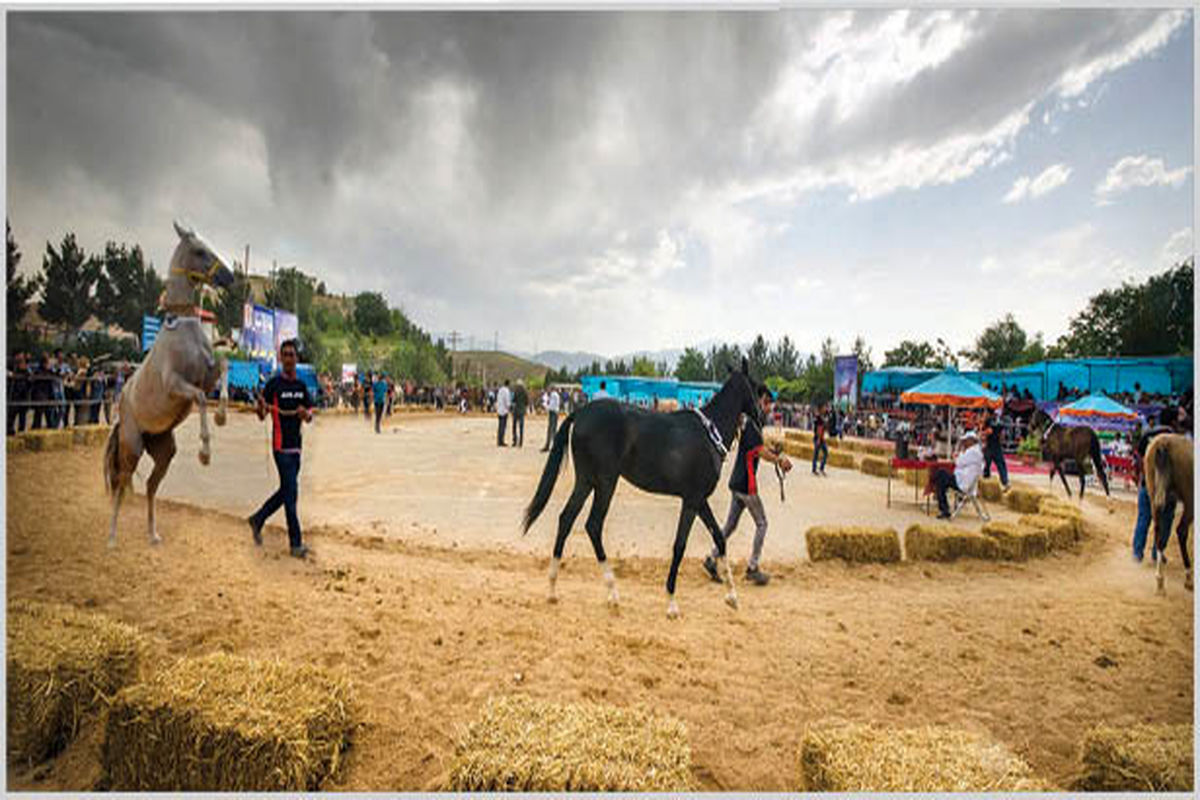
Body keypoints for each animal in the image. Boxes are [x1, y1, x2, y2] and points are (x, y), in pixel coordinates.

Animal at [104, 221, 235, 546]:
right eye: (199, 251)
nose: (230, 277)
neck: (183, 327)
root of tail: (121, 408)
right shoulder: (177, 384)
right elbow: (200, 397)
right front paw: (204, 453)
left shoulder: (207, 374)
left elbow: (224, 365)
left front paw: (222, 416)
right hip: (132, 447)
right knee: (121, 483)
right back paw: (111, 537)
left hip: (163, 449)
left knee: (151, 486)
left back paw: (153, 534)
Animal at [523, 362, 758, 618]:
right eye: (756, 387)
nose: (759, 416)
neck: (708, 435)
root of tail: (582, 412)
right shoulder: (692, 500)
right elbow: (680, 545)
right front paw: (671, 603)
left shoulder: (699, 500)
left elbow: (719, 537)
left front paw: (732, 596)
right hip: (605, 482)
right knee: (593, 525)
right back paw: (613, 593)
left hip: (586, 481)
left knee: (566, 519)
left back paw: (553, 589)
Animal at [1142, 431, 1190, 594]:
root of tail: (1163, 443)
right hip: (1190, 500)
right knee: (1181, 531)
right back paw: (1188, 577)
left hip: (1153, 493)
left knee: (1159, 532)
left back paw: (1160, 581)